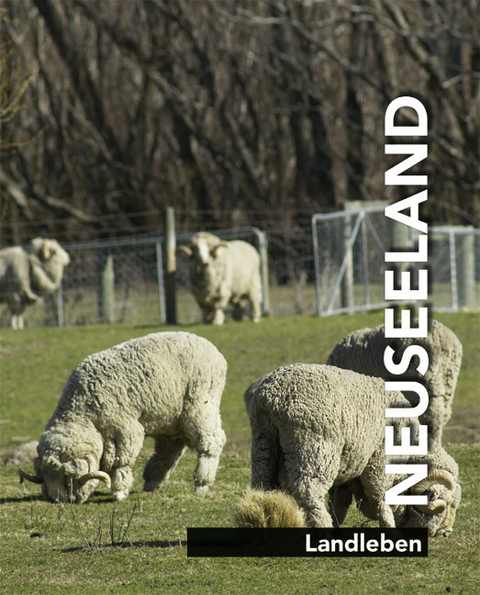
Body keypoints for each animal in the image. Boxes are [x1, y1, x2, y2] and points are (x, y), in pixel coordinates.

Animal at [19, 332, 227, 506]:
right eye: (46, 476)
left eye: (68, 477)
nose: (59, 501)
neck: (84, 409)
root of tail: (212, 349)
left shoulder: (125, 430)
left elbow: (121, 462)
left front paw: (119, 491)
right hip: (169, 420)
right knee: (169, 450)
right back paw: (152, 482)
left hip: (200, 404)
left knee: (211, 442)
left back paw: (202, 483)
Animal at [244, 366, 462, 536]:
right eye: (441, 505)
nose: (445, 533)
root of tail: (273, 397)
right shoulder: (380, 461)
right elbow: (381, 496)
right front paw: (391, 531)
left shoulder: (347, 473)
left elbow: (338, 505)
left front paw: (338, 525)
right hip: (316, 446)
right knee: (308, 490)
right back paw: (323, 529)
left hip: (264, 440)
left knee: (262, 483)